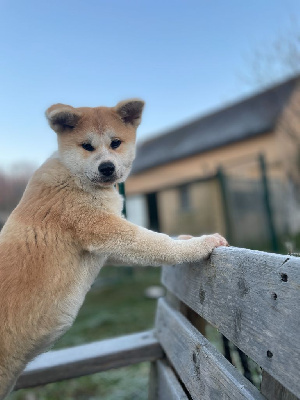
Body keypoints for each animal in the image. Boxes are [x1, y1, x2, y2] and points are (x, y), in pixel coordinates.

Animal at [0, 100, 226, 396]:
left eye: (115, 143)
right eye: (87, 146)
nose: (106, 167)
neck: (74, 176)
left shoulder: (105, 249)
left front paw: (186, 237)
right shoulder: (104, 229)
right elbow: (158, 242)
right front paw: (202, 243)